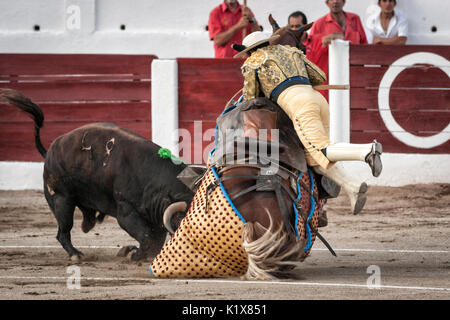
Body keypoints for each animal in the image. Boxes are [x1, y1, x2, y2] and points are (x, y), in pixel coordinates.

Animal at [0, 89, 193, 262]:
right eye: (181, 221)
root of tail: (49, 152)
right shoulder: (126, 212)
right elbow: (146, 236)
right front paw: (134, 255)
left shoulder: (154, 217)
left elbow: (154, 239)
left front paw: (135, 253)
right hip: (62, 199)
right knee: (63, 231)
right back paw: (76, 255)